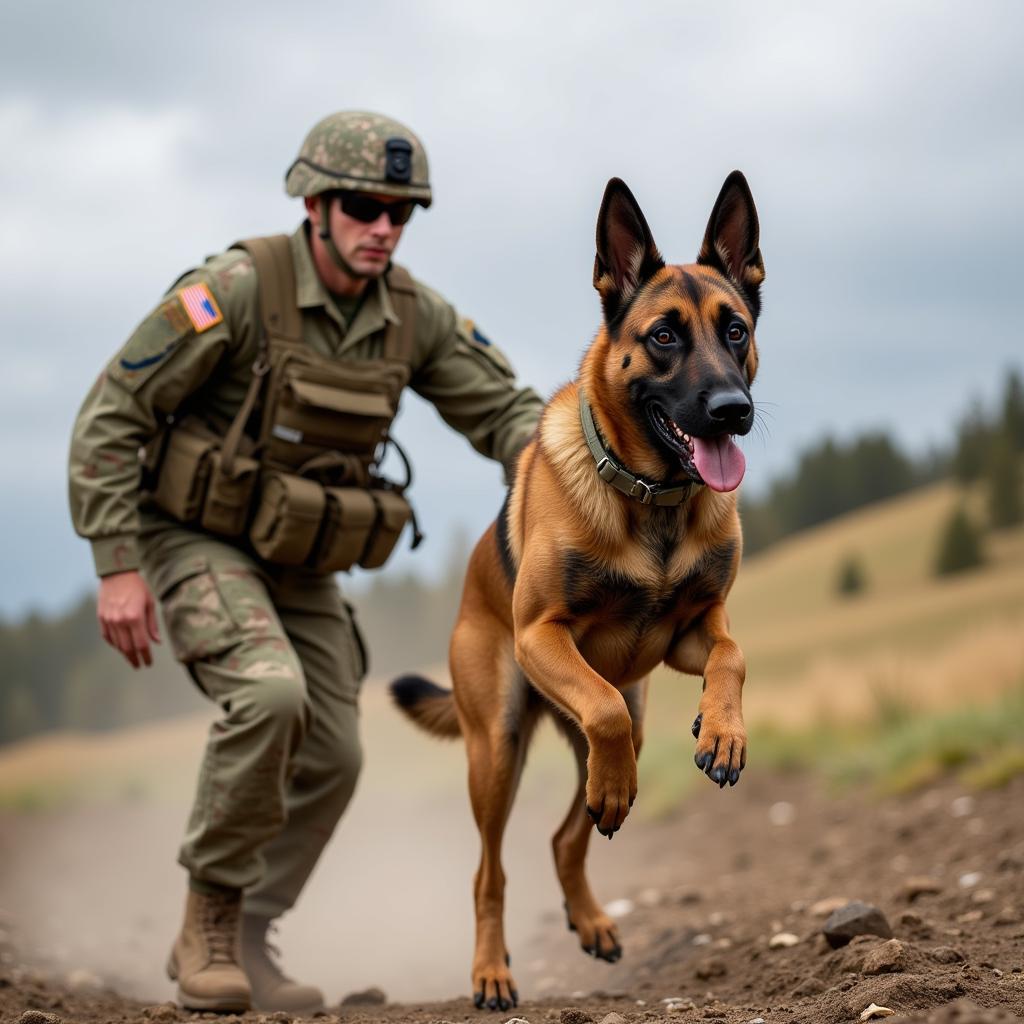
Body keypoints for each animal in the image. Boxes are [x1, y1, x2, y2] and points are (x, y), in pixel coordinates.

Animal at [391, 172, 761, 1011]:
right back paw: (491, 970)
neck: (653, 500)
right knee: (490, 870)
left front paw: (722, 731)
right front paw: (625, 781)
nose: (734, 412)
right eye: (664, 337)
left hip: (630, 711)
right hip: (496, 748)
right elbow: (600, 711)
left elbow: (732, 654)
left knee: (567, 832)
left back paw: (591, 912)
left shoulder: (692, 631)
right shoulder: (542, 635)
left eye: (735, 329)